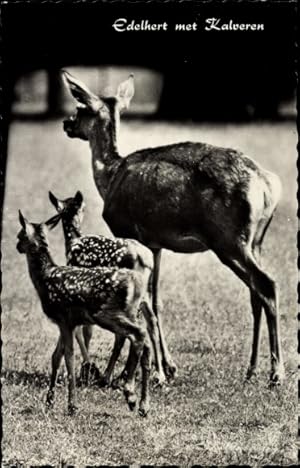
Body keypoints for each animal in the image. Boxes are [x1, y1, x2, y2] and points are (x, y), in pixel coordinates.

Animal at [17, 210, 155, 414]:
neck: (44, 278)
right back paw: (143, 405)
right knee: (145, 342)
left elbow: (69, 357)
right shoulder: (66, 322)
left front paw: (72, 405)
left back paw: (129, 393)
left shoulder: (64, 318)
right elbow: (56, 356)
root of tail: (137, 283)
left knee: (137, 335)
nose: (17, 246)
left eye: (20, 235)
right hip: (130, 313)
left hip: (107, 314)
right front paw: (49, 401)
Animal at [47, 188, 166, 386]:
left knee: (125, 332)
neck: (72, 242)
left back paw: (109, 376)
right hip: (145, 293)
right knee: (152, 323)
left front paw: (85, 370)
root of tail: (146, 259)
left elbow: (81, 330)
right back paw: (160, 376)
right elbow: (86, 329)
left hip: (126, 296)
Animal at [60, 69, 284, 384]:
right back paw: (251, 370)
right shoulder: (155, 245)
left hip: (230, 238)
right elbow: (155, 303)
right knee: (255, 293)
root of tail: (268, 185)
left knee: (267, 284)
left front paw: (133, 371)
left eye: (81, 108)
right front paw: (166, 367)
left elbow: (141, 305)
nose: (67, 123)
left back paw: (277, 372)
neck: (110, 176)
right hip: (255, 241)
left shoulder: (127, 232)